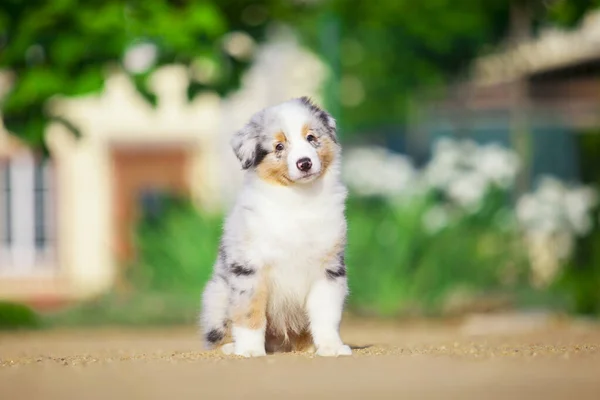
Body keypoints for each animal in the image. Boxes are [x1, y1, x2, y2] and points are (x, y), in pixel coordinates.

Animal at [200, 96, 352, 356]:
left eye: (311, 137)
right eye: (279, 147)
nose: (304, 163)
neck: (299, 199)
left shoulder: (329, 268)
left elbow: (326, 314)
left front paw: (331, 347)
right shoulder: (249, 267)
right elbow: (250, 313)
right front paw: (250, 350)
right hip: (217, 295)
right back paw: (231, 347)